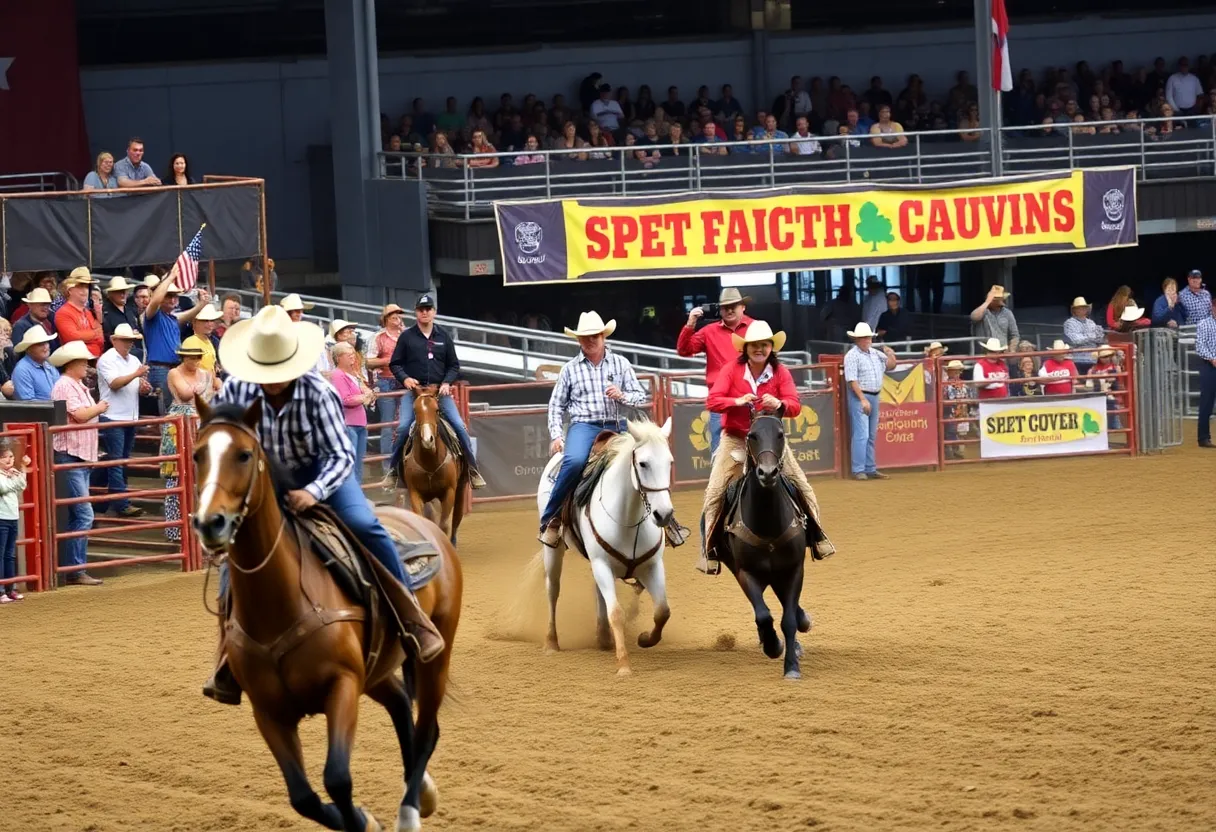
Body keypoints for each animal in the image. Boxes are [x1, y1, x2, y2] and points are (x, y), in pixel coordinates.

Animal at [192, 398, 462, 827]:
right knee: (402, 704)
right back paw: (420, 792)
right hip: (377, 667)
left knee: (426, 731)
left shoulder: (343, 684)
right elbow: (303, 797)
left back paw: (410, 809)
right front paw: (364, 819)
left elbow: (337, 778)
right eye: (198, 454)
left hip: (434, 655)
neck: (280, 603)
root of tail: (428, 527)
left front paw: (365, 819)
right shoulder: (267, 711)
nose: (210, 522)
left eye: (244, 454)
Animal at [396, 389, 466, 544]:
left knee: (456, 517)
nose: (428, 440)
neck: (430, 461)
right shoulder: (414, 493)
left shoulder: (449, 491)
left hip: (460, 488)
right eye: (415, 411)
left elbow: (444, 525)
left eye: (437, 410)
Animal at [539, 416, 680, 676]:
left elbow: (663, 610)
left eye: (670, 462)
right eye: (643, 463)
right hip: (554, 551)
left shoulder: (653, 565)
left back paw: (603, 637)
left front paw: (646, 639)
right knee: (553, 590)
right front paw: (623, 664)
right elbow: (616, 612)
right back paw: (552, 643)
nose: (663, 514)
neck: (628, 518)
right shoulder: (602, 564)